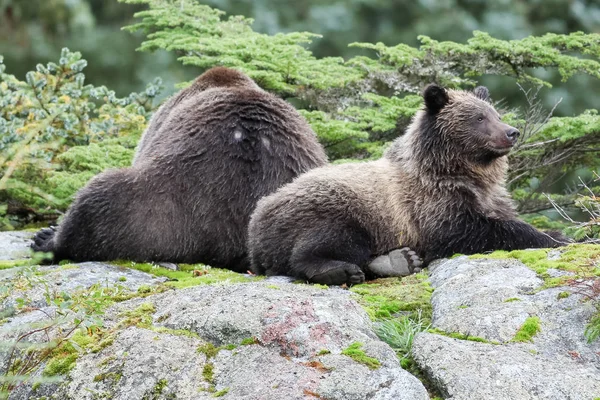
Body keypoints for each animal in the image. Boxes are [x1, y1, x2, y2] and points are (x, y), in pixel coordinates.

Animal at [247, 84, 568, 286]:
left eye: (495, 113)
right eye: (479, 117)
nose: (511, 132)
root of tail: (255, 221)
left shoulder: (488, 197)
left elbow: (503, 216)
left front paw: (555, 232)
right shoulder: (431, 204)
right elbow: (471, 230)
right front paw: (555, 238)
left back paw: (399, 261)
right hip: (333, 207)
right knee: (325, 242)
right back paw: (340, 270)